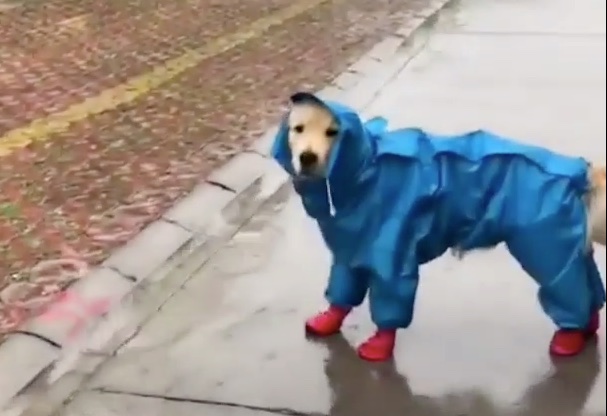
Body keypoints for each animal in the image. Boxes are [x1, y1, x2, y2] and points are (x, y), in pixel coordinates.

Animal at [272, 91, 607, 360]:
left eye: (333, 132)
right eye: (298, 129)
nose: (307, 157)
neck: (363, 173)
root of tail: (580, 173)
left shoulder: (393, 258)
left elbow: (389, 301)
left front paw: (380, 346)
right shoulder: (349, 251)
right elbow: (342, 291)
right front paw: (328, 319)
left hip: (546, 246)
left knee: (568, 287)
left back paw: (570, 336)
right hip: (566, 243)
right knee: (587, 284)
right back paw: (586, 328)